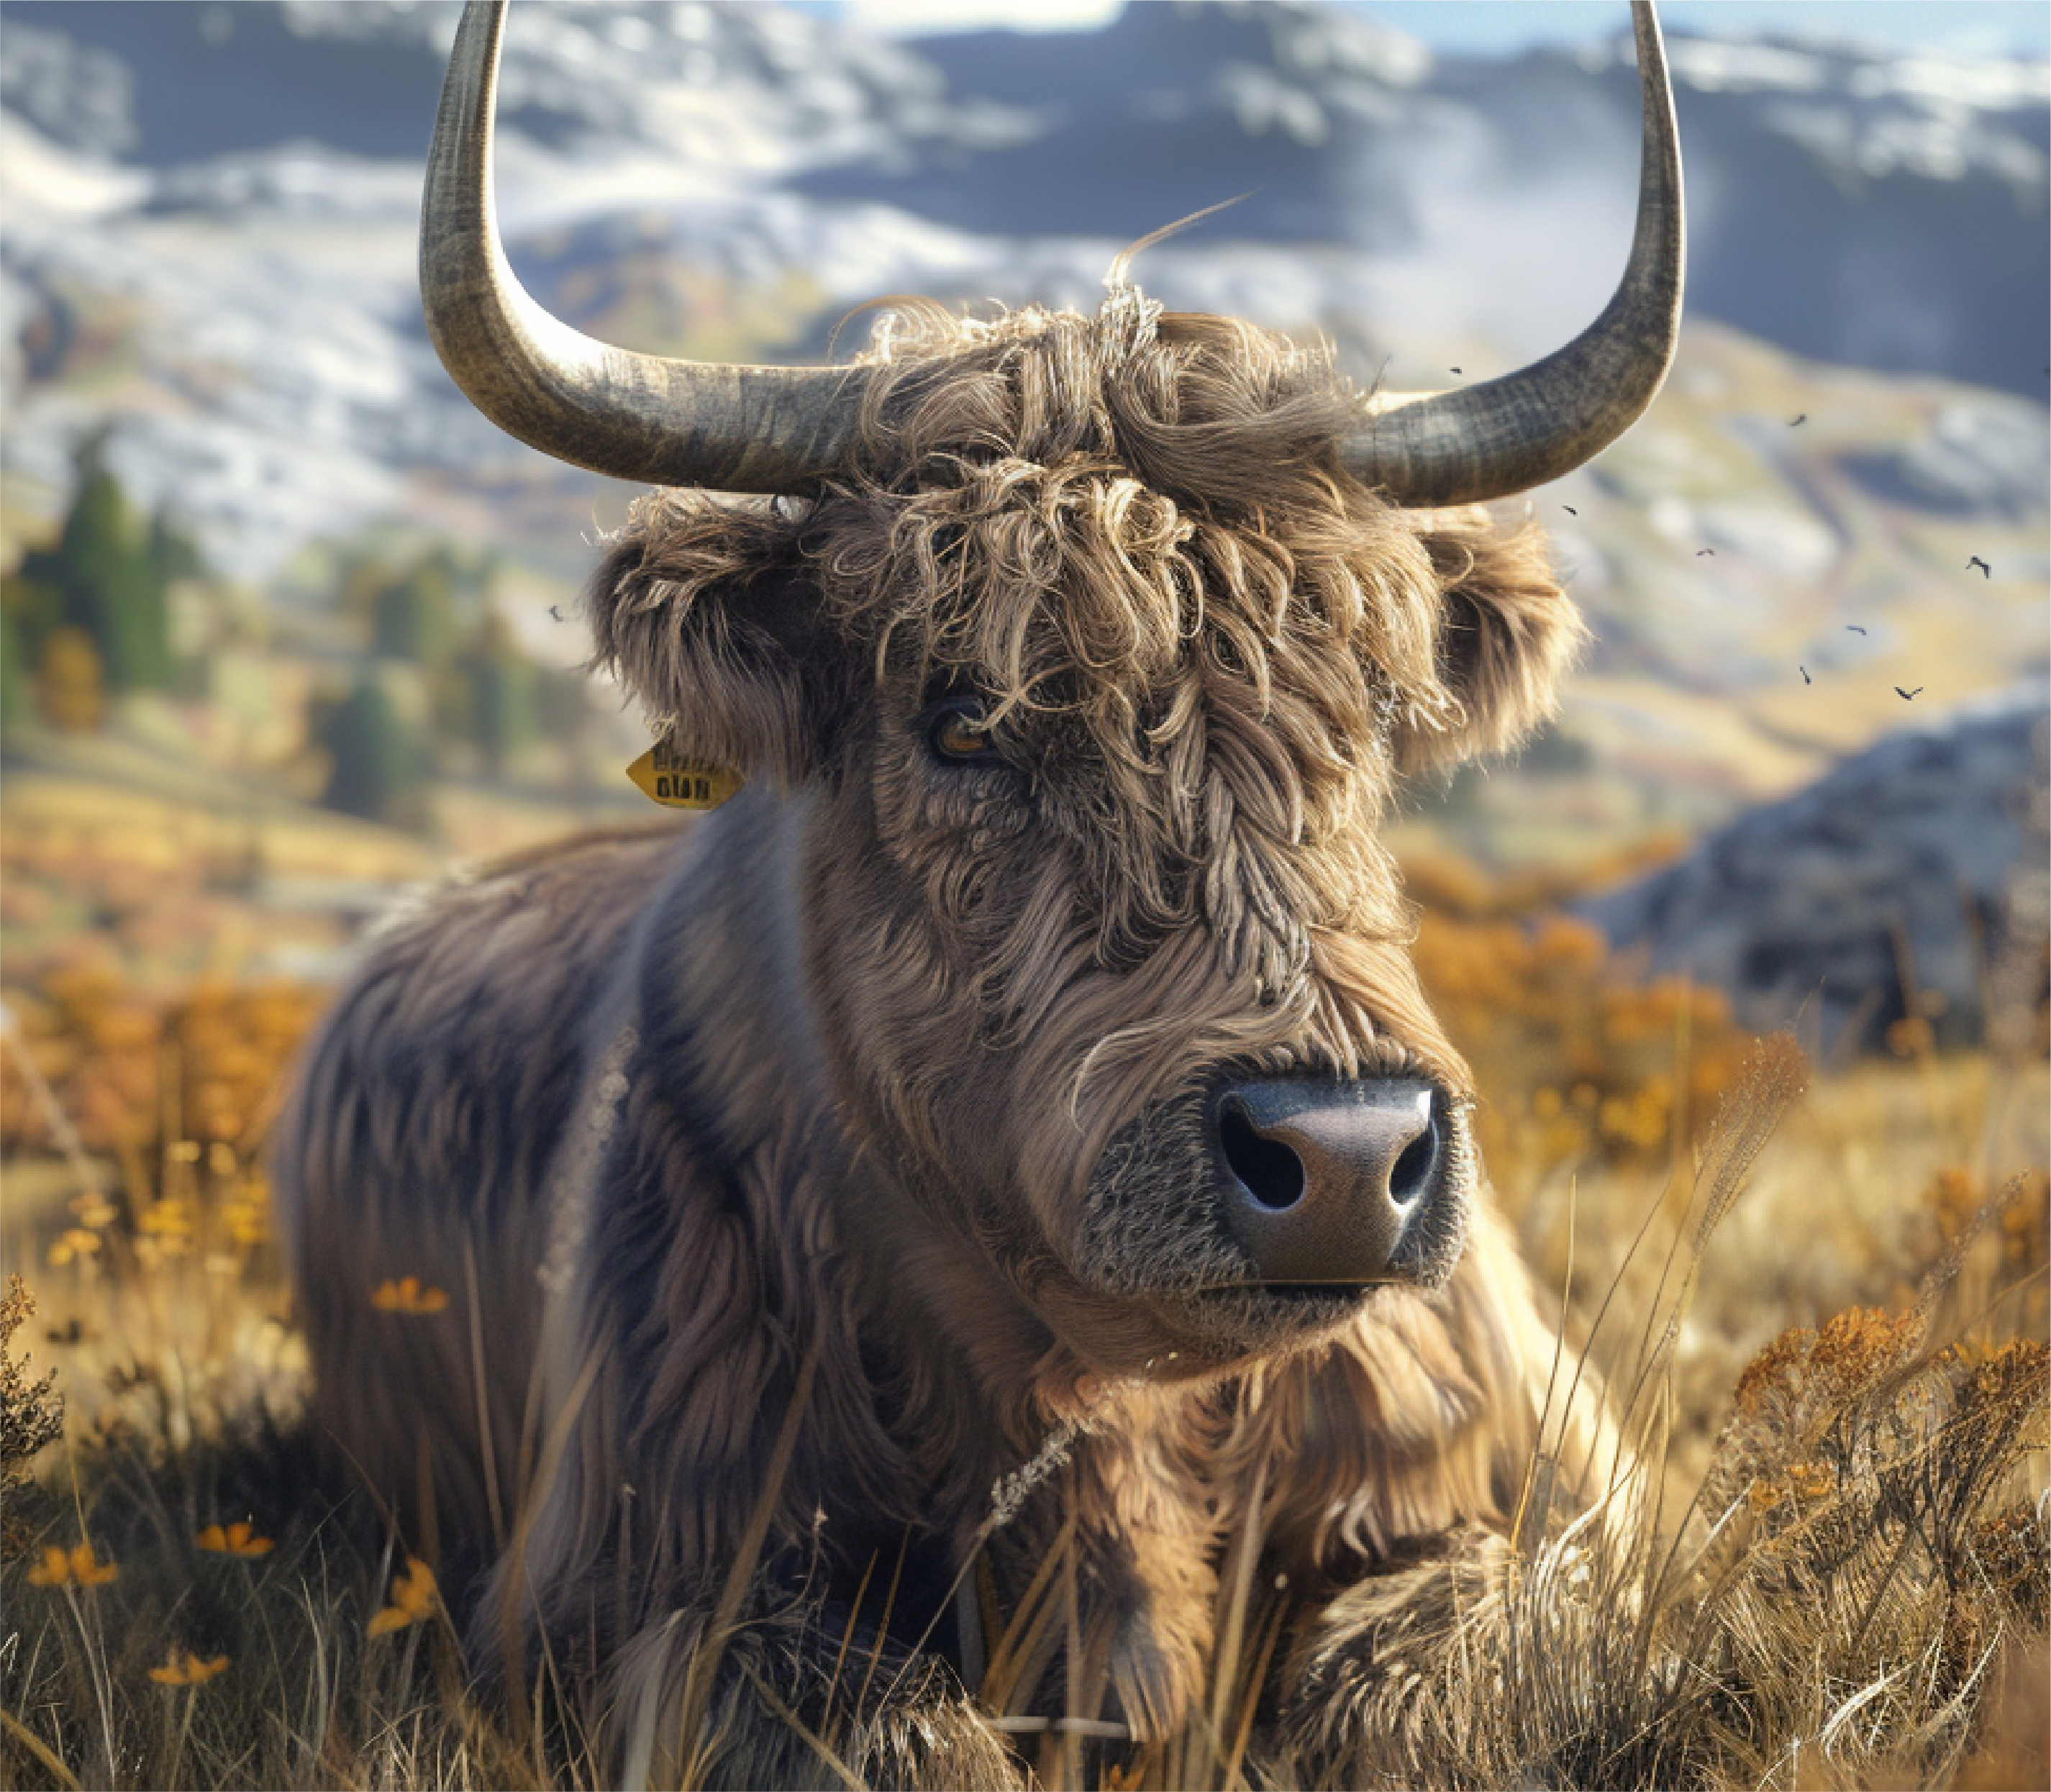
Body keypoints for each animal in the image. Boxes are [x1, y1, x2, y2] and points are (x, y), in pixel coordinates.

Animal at [273, 0, 1682, 1784]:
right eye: (962, 719)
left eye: (1370, 714)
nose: (1344, 1159)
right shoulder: (625, 1589)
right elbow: (887, 1729)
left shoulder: (1564, 1506)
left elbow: (1434, 1686)